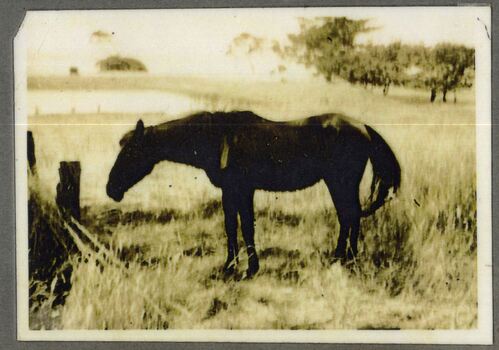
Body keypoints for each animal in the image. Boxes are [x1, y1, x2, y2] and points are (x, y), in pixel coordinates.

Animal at [106, 110, 402, 278]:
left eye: (131, 152)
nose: (111, 189)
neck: (220, 139)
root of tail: (362, 126)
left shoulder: (239, 188)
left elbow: (242, 226)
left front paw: (242, 268)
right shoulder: (235, 191)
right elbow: (236, 226)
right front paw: (238, 265)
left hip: (339, 182)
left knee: (349, 216)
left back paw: (343, 260)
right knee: (349, 217)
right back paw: (344, 258)